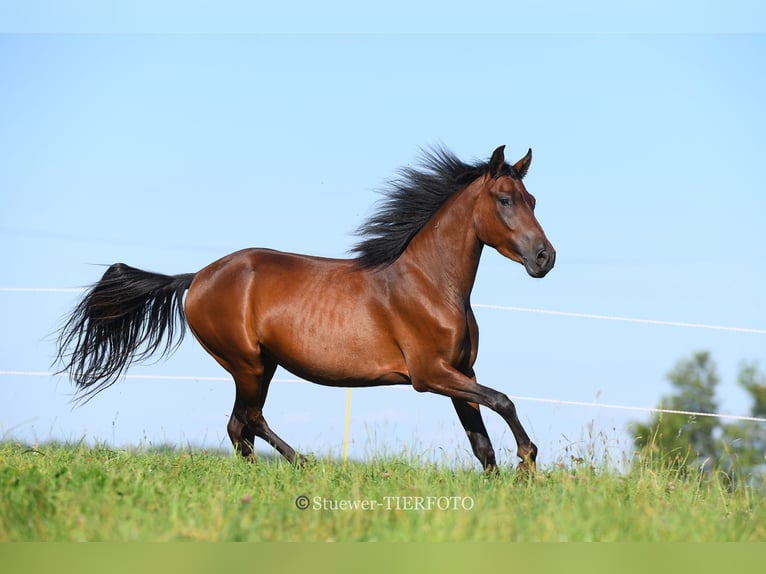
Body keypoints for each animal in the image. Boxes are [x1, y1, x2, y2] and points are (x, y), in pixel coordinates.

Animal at [55, 145, 556, 473]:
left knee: (239, 426)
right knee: (248, 420)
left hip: (262, 365)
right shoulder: (430, 375)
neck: (430, 284)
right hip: (247, 363)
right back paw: (304, 465)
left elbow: (482, 444)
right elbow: (504, 401)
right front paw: (528, 463)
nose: (544, 258)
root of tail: (196, 277)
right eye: (505, 199)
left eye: (533, 200)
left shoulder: (461, 373)